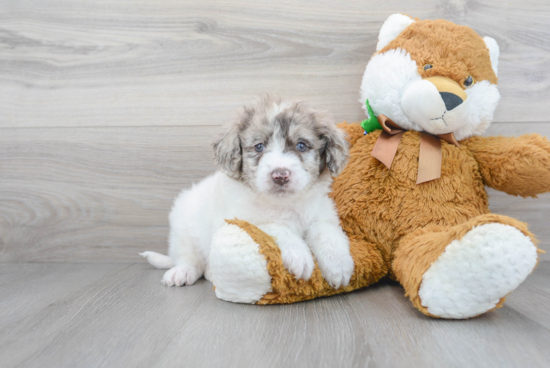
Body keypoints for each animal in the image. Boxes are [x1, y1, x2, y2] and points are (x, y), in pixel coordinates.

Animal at [142, 96, 356, 288]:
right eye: (259, 146)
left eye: (301, 145)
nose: (280, 175)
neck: (283, 204)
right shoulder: (241, 219)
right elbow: (274, 227)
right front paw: (299, 255)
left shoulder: (322, 213)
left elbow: (325, 231)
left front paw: (338, 264)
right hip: (183, 228)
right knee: (190, 259)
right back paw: (183, 272)